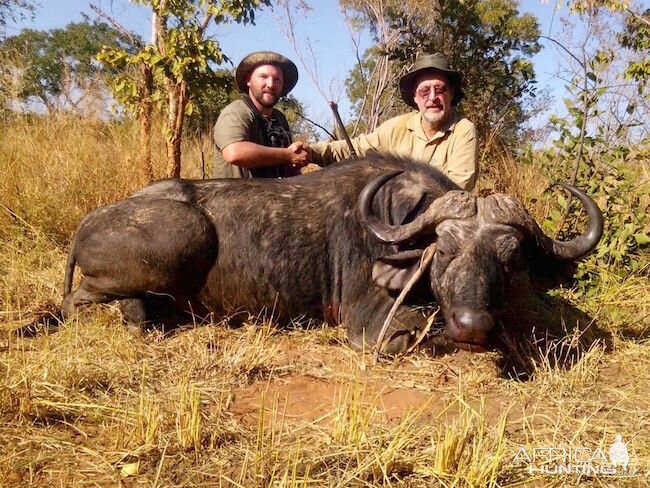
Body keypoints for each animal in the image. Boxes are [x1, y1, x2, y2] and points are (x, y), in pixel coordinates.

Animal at [62, 155, 604, 354]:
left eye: (510, 258)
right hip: (186, 233)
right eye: (445, 250)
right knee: (79, 301)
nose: (472, 325)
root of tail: (88, 223)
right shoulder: (370, 325)